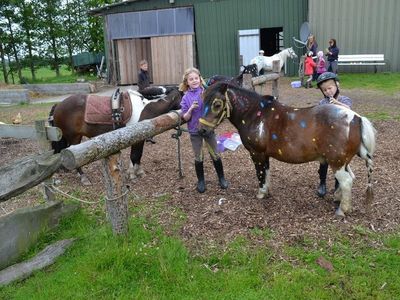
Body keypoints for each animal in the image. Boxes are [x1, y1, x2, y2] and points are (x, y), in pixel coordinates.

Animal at [198, 82, 376, 216]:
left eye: (217, 104)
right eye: (202, 100)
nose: (202, 130)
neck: (255, 114)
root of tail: (356, 118)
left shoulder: (257, 154)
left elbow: (260, 174)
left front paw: (261, 194)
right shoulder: (265, 155)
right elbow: (267, 173)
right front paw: (267, 192)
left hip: (336, 162)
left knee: (346, 181)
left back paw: (342, 210)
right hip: (343, 161)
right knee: (350, 178)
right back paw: (338, 199)